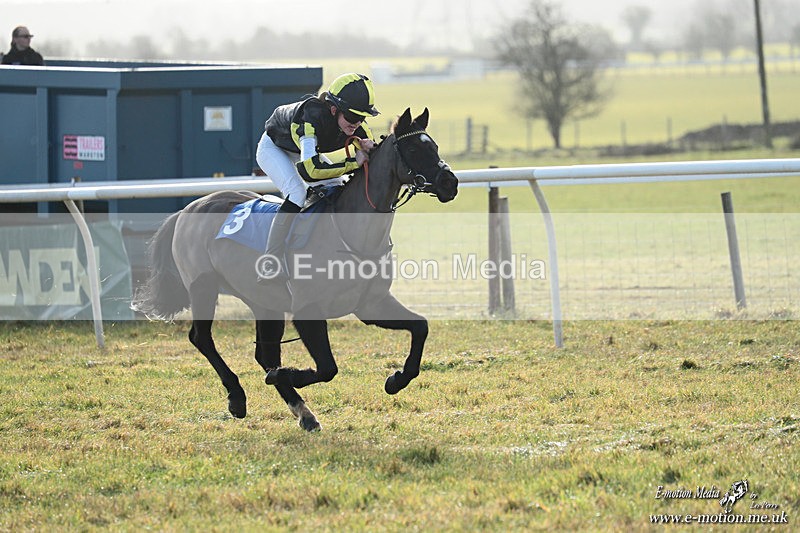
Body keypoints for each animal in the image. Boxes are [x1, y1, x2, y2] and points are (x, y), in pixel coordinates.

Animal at [132, 108, 459, 431]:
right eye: (414, 149)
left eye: (435, 146)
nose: (450, 183)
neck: (351, 234)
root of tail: (187, 209)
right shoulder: (307, 311)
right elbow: (327, 368)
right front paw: (283, 375)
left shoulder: (371, 304)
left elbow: (420, 327)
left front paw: (396, 380)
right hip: (203, 286)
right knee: (201, 338)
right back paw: (238, 397)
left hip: (264, 302)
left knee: (263, 352)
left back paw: (304, 413)